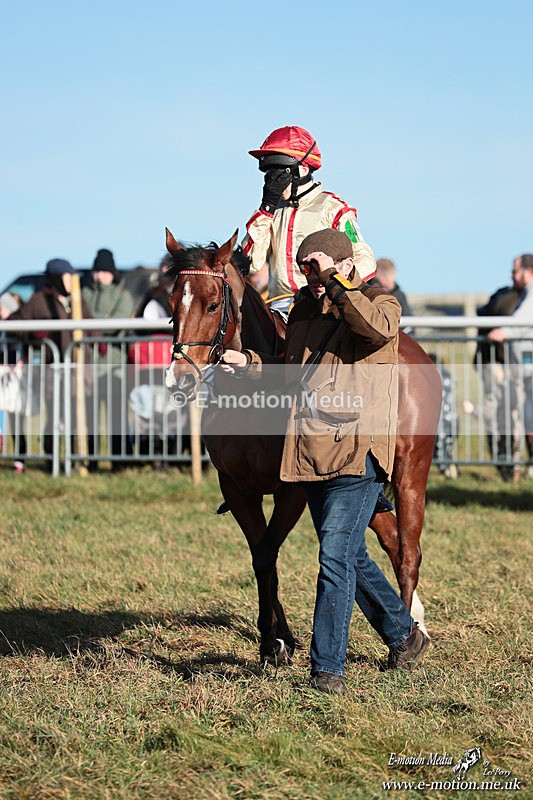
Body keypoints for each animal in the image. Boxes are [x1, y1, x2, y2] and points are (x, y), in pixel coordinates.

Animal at [164, 229, 442, 664]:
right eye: (172, 303)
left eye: (212, 304)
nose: (180, 379)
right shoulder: (237, 489)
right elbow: (262, 556)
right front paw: (277, 640)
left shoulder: (292, 490)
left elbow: (267, 551)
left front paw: (274, 640)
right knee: (392, 542)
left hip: (411, 472)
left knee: (408, 552)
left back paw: (410, 636)